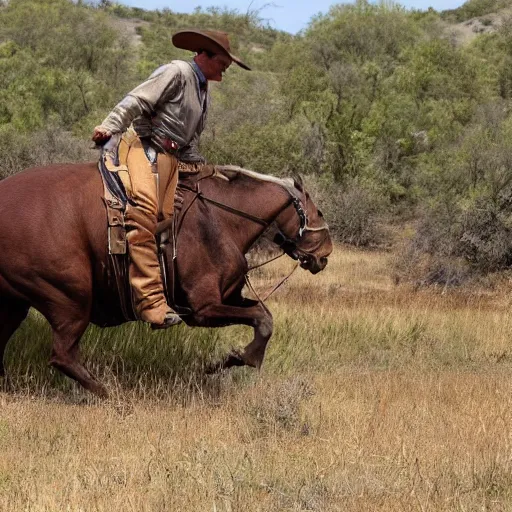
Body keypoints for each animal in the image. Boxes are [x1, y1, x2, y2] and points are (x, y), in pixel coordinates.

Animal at [0, 163, 332, 396]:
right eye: (318, 211)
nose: (325, 254)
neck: (220, 218)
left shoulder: (230, 298)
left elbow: (263, 315)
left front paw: (232, 359)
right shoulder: (203, 310)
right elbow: (261, 319)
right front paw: (239, 358)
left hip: (15, 305)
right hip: (70, 299)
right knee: (63, 356)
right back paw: (111, 395)